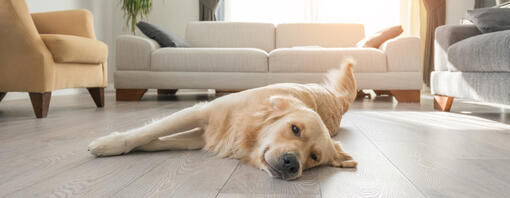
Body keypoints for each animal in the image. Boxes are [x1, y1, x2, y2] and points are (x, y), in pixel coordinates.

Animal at [88, 59, 358, 181]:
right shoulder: (202, 113)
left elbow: (159, 140)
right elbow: (148, 132)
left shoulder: (200, 138)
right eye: (295, 129)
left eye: (314, 157)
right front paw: (109, 144)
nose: (292, 164)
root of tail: (337, 99)